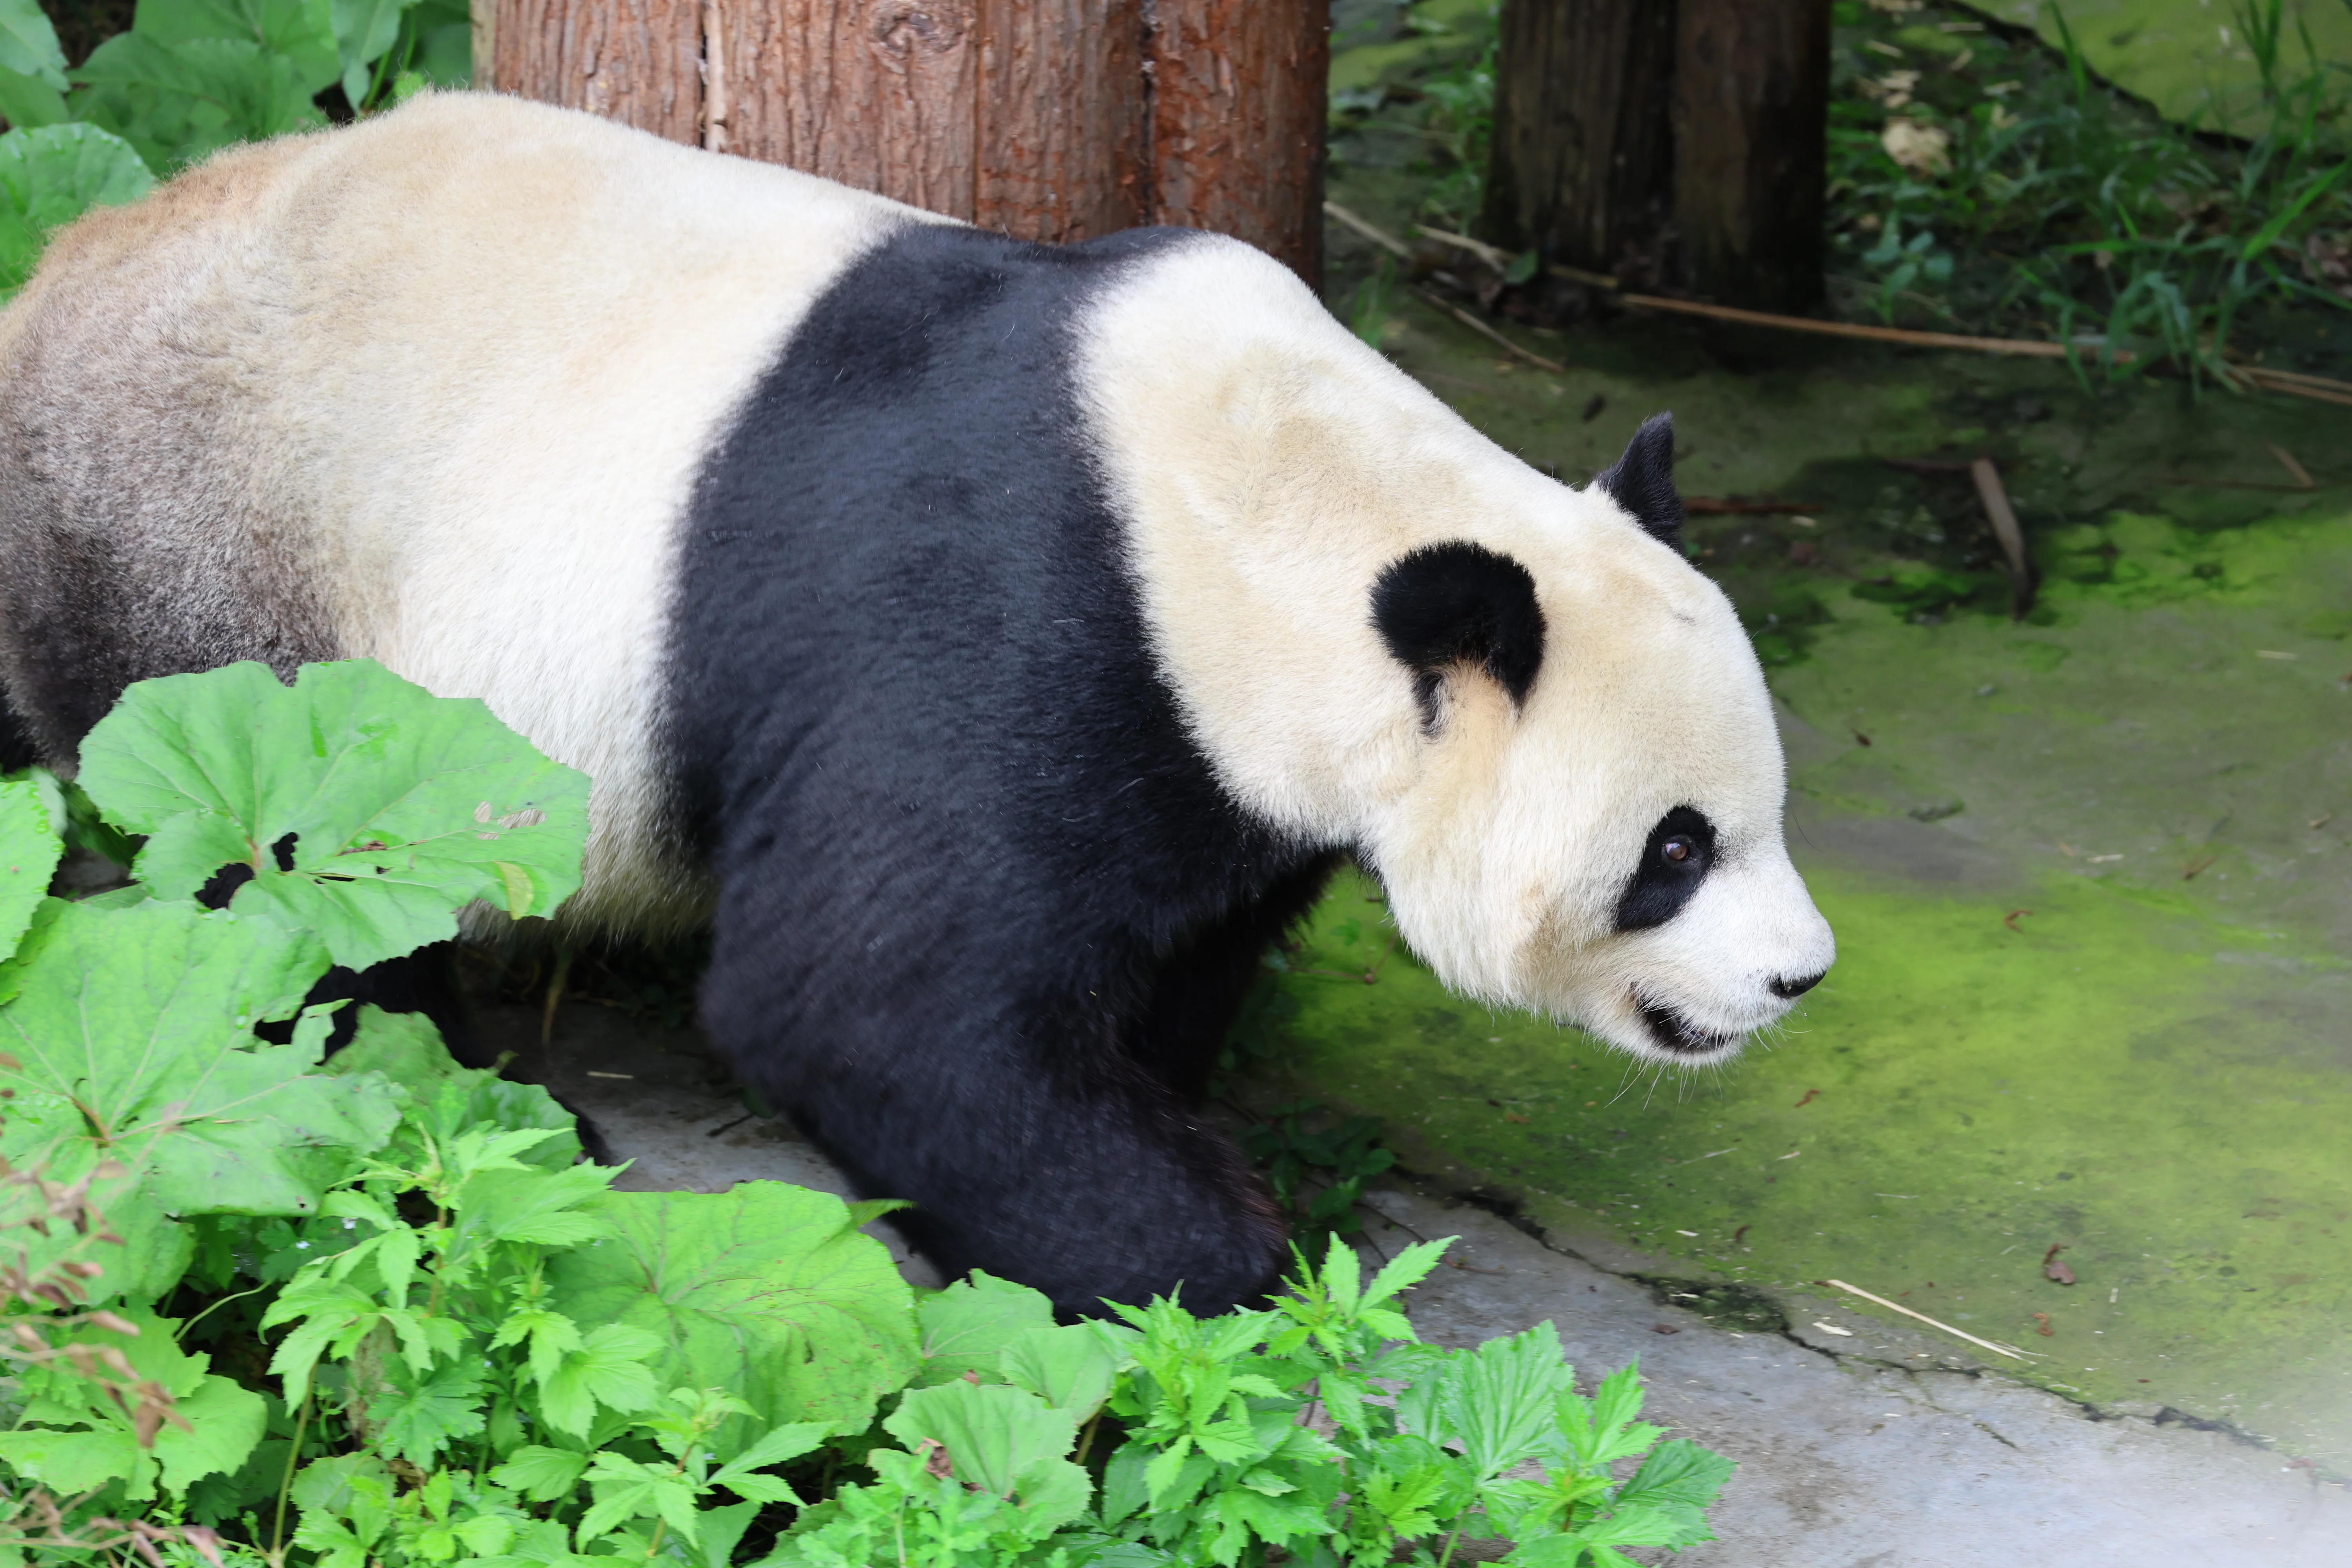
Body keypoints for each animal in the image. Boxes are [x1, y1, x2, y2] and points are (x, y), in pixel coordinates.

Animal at [0, 94, 1834, 1316]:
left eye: (1760, 813)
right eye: (1671, 849)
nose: (1795, 976)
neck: (1271, 510)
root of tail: (45, 296)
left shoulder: (1207, 758)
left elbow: (1157, 960)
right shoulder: (1014, 622)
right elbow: (860, 997)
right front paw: (1207, 1247)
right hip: (221, 561)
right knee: (281, 887)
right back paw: (475, 1102)